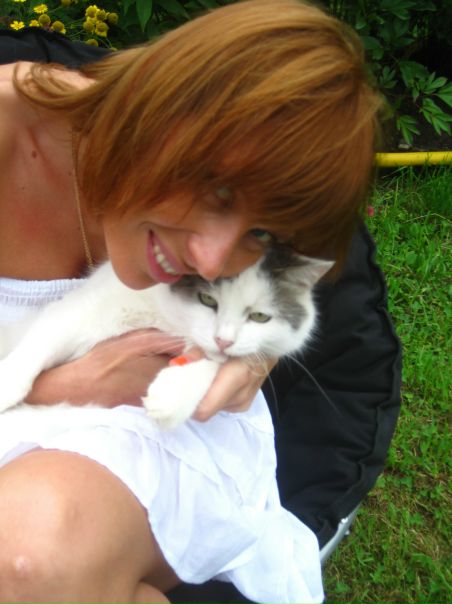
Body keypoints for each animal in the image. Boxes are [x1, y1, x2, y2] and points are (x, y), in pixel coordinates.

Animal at [0, 246, 333, 428]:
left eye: (260, 317)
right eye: (207, 300)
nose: (224, 340)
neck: (167, 318)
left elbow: (214, 363)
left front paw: (173, 397)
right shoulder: (82, 309)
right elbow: (46, 338)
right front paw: (7, 384)